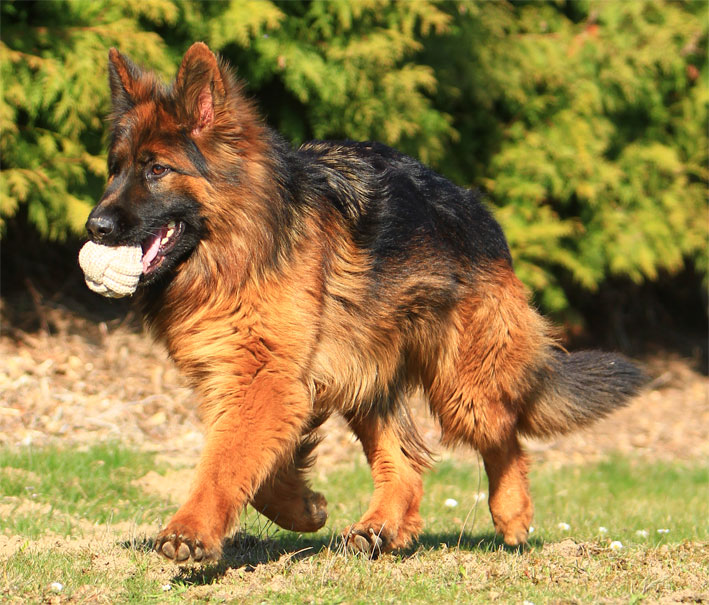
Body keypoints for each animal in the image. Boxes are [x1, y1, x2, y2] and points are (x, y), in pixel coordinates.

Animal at [84, 42, 646, 563]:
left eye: (157, 169)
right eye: (116, 169)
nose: (95, 226)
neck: (243, 244)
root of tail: (477, 208)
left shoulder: (267, 381)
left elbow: (226, 460)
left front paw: (192, 529)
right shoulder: (259, 380)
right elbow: (253, 464)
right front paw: (302, 507)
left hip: (462, 386)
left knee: (504, 435)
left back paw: (511, 512)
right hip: (366, 373)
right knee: (407, 464)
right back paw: (383, 527)